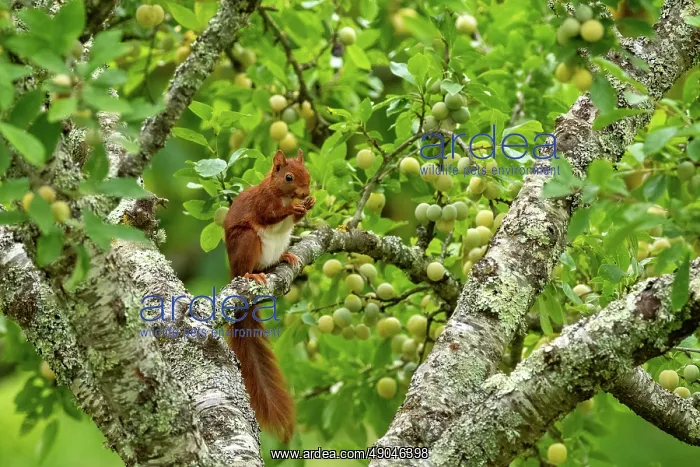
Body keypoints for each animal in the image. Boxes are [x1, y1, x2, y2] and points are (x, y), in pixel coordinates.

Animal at [223, 148, 314, 443]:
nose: (306, 191)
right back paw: (252, 276)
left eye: (307, 173)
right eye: (288, 177)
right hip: (248, 242)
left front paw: (308, 204)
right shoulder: (263, 203)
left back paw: (286, 257)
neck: (281, 193)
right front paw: (293, 208)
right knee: (247, 268)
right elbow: (271, 215)